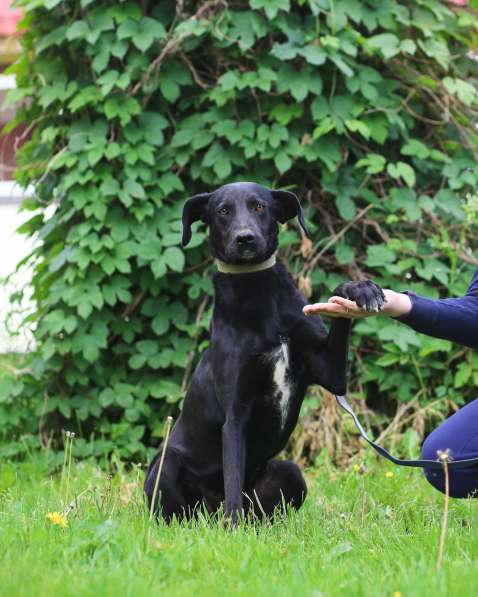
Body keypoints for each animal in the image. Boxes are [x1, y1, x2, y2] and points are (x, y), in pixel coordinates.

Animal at [144, 182, 382, 520]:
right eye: (223, 211)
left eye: (259, 206)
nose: (245, 238)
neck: (256, 288)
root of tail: (209, 511)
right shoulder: (235, 416)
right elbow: (232, 480)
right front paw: (233, 528)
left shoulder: (331, 373)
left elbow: (339, 306)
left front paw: (359, 289)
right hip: (168, 465)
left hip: (290, 471)